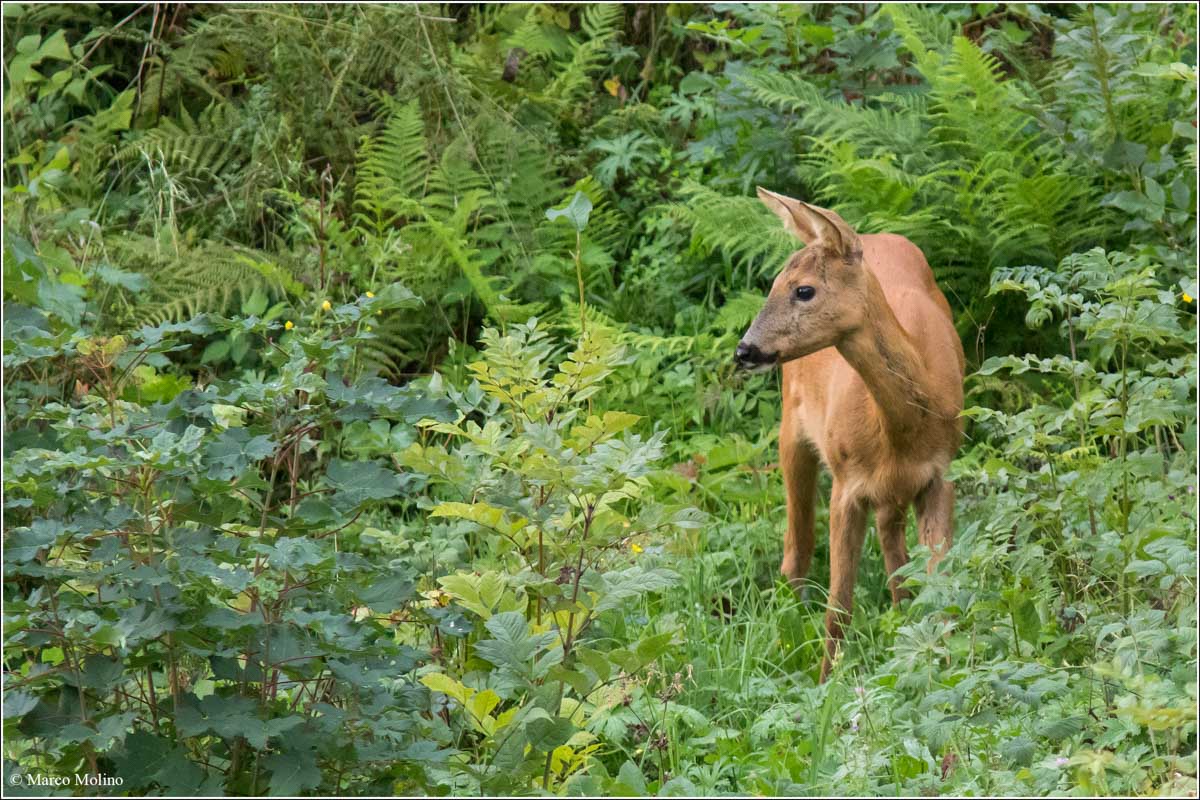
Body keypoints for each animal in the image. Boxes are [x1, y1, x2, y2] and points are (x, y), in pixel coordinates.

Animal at [729, 189, 964, 681]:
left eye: (804, 290)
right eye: (773, 284)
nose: (745, 350)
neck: (901, 431)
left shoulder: (940, 474)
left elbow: (942, 586)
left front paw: (949, 668)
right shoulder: (846, 481)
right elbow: (839, 604)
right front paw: (826, 683)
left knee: (891, 542)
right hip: (792, 427)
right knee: (797, 543)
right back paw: (789, 619)